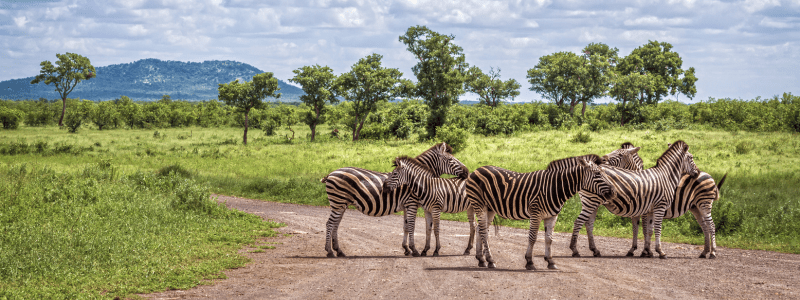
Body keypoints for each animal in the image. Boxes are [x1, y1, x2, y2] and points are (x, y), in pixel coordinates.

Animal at [320, 143, 468, 258]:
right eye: (450, 159)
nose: (467, 172)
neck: (418, 181)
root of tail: (331, 173)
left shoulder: (407, 205)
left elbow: (406, 226)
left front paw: (406, 249)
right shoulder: (412, 203)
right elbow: (412, 226)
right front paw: (414, 250)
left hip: (341, 204)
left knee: (335, 225)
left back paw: (338, 251)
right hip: (338, 203)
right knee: (329, 224)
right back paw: (329, 252)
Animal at [462, 157, 620, 270]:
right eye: (598, 174)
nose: (614, 192)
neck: (554, 188)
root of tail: (477, 169)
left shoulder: (552, 216)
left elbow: (549, 239)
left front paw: (550, 261)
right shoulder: (536, 213)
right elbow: (532, 238)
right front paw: (530, 262)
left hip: (490, 208)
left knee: (480, 229)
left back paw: (481, 259)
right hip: (479, 204)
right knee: (483, 231)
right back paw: (490, 260)